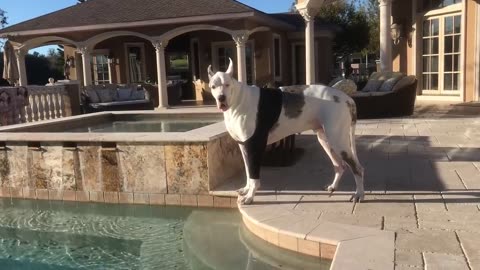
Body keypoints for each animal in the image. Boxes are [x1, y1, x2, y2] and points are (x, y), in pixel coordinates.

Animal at [207, 58, 364, 204]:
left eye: (227, 84)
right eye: (213, 87)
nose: (221, 98)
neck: (239, 99)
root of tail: (347, 99)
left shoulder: (253, 147)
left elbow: (254, 176)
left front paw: (250, 196)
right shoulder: (244, 146)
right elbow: (248, 172)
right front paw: (246, 189)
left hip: (337, 141)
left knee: (357, 168)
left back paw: (359, 194)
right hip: (325, 140)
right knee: (340, 166)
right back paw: (333, 187)